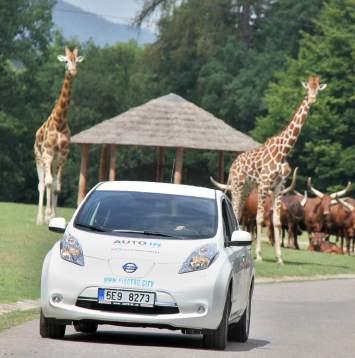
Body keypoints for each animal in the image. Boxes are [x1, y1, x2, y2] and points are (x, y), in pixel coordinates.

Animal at [35, 47, 85, 224]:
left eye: (77, 61)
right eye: (65, 61)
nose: (73, 71)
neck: (60, 122)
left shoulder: (62, 156)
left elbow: (57, 187)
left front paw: (53, 216)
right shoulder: (48, 154)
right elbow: (49, 183)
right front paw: (48, 215)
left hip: (54, 162)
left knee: (52, 183)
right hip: (39, 159)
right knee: (41, 184)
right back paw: (39, 219)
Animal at [211, 75, 328, 264]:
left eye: (318, 88)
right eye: (307, 88)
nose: (312, 99)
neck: (284, 151)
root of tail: (233, 164)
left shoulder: (280, 186)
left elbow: (276, 221)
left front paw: (280, 258)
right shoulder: (265, 184)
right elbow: (259, 219)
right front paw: (259, 255)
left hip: (247, 188)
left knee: (239, 213)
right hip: (237, 185)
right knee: (234, 210)